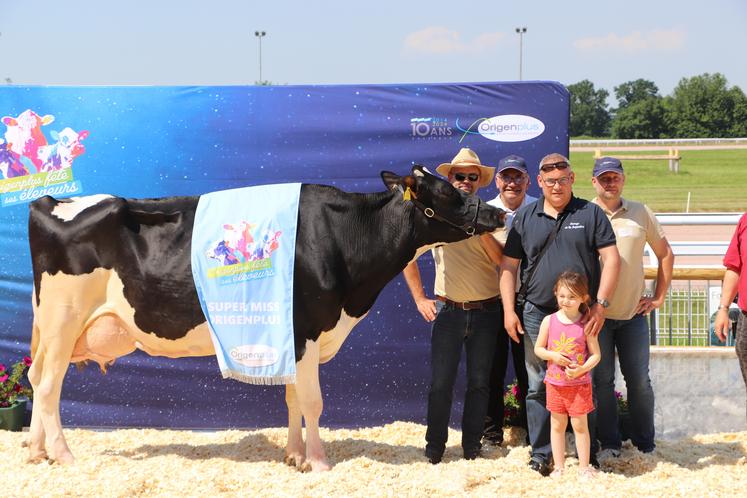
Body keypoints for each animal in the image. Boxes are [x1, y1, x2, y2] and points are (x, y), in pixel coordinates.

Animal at [26, 166, 506, 470]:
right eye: (449, 192)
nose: (498, 213)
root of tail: (50, 202)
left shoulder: (292, 338)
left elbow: (292, 398)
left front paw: (293, 456)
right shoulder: (305, 330)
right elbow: (312, 401)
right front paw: (318, 461)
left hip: (51, 328)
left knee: (35, 378)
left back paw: (37, 451)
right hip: (63, 319)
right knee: (48, 387)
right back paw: (64, 455)